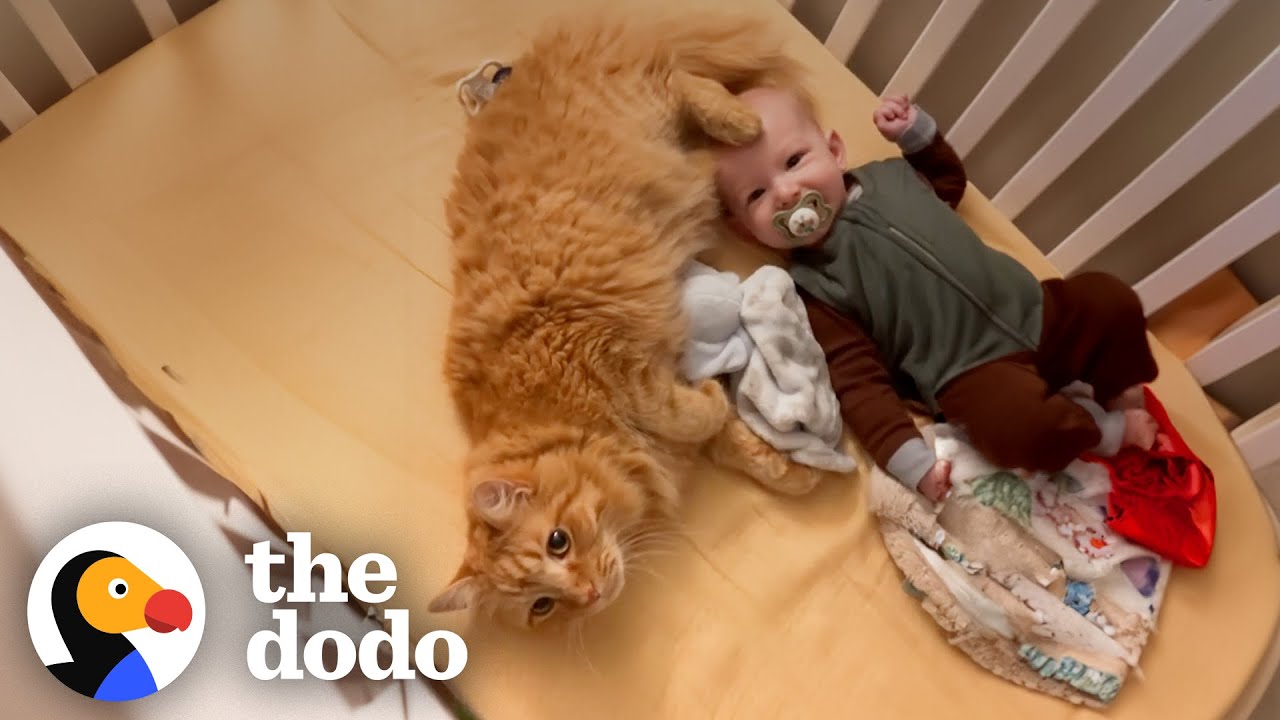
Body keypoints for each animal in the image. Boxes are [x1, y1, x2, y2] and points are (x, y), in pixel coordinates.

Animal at [427, 11, 808, 627]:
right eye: (542, 606)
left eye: (559, 541)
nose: (588, 595)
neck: (553, 417)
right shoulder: (661, 423)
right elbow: (736, 442)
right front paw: (797, 474)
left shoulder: (621, 364)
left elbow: (690, 413)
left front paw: (712, 394)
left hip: (648, 106)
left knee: (685, 81)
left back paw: (740, 122)